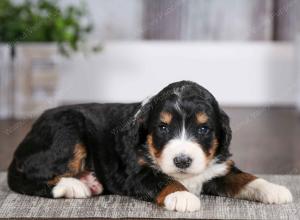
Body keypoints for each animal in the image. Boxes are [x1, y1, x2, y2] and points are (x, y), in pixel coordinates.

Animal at [8, 81, 292, 212]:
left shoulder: (219, 168)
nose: (182, 161)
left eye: (203, 129)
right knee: (28, 175)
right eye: (163, 128)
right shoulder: (135, 172)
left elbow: (246, 178)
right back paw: (74, 185)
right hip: (67, 129)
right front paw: (183, 196)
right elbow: (163, 179)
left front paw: (275, 190)